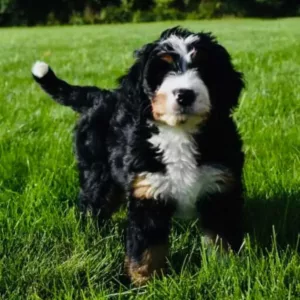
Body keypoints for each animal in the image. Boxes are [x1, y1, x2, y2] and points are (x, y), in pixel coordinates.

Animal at [32, 26, 244, 286]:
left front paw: (226, 270)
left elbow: (221, 238)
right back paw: (91, 237)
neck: (180, 133)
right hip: (98, 172)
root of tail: (100, 96)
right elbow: (146, 248)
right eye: (161, 71)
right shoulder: (148, 190)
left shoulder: (219, 187)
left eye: (203, 67)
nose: (184, 94)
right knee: (92, 204)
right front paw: (145, 284)